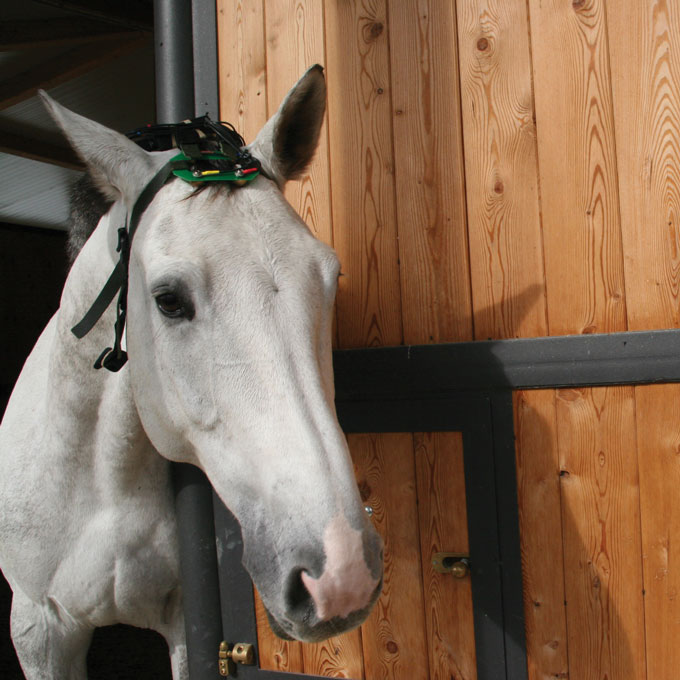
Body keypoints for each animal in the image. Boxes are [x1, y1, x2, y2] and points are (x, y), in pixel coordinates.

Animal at [0, 65, 382, 680]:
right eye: (169, 300)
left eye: (330, 276)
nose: (342, 573)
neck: (104, 490)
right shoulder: (39, 628)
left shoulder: (189, 627)